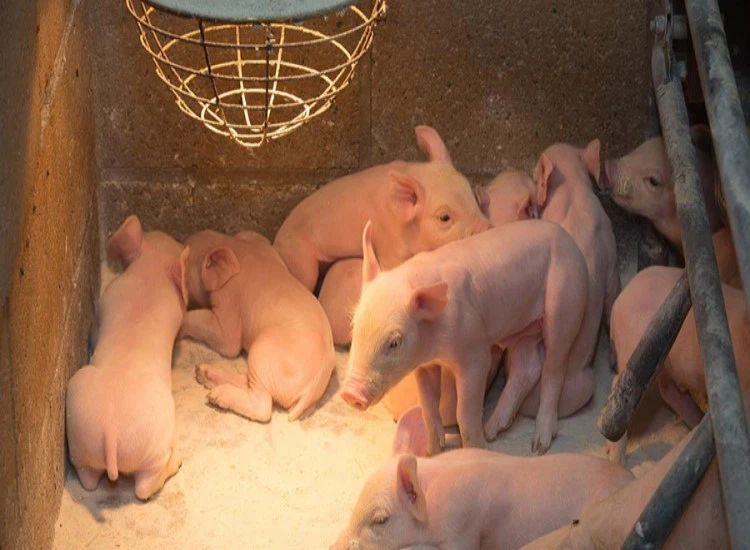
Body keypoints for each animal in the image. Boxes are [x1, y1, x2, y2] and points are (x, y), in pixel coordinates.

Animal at [65, 215, 187, 500]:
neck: (149, 271)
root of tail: (110, 431)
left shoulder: (107, 298)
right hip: (154, 444)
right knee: (144, 488)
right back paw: (176, 461)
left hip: (79, 438)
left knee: (88, 479)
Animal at [180, 229, 335, 422]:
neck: (236, 248)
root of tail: (313, 387)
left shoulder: (228, 301)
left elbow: (228, 343)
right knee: (248, 381)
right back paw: (202, 372)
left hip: (263, 353)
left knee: (262, 405)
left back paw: (215, 396)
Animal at [273, 125, 492, 291]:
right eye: (444, 217)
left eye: (471, 194)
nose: (488, 227)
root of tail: (277, 240)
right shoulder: (388, 246)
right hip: (301, 262)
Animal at [343, 218, 592, 455]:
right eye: (354, 324)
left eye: (394, 342)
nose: (349, 394)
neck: (435, 347)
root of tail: (569, 240)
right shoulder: (424, 366)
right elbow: (428, 407)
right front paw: (431, 452)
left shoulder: (475, 353)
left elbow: (463, 413)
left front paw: (477, 451)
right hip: (523, 330)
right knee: (527, 368)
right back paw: (491, 430)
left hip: (566, 304)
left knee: (554, 369)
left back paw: (538, 446)